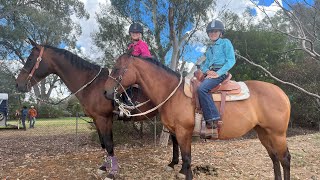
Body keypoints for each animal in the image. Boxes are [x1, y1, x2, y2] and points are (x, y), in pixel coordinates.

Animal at [15, 40, 157, 179]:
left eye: (30, 59)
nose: (18, 84)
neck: (92, 84)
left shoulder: (103, 118)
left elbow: (109, 143)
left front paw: (113, 172)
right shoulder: (98, 119)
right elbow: (103, 143)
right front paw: (104, 167)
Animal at [105, 53, 292, 180]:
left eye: (117, 69)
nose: (106, 93)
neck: (173, 94)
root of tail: (282, 93)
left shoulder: (183, 132)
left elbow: (187, 159)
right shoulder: (178, 133)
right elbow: (182, 155)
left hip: (277, 133)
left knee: (285, 158)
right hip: (263, 132)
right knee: (274, 157)